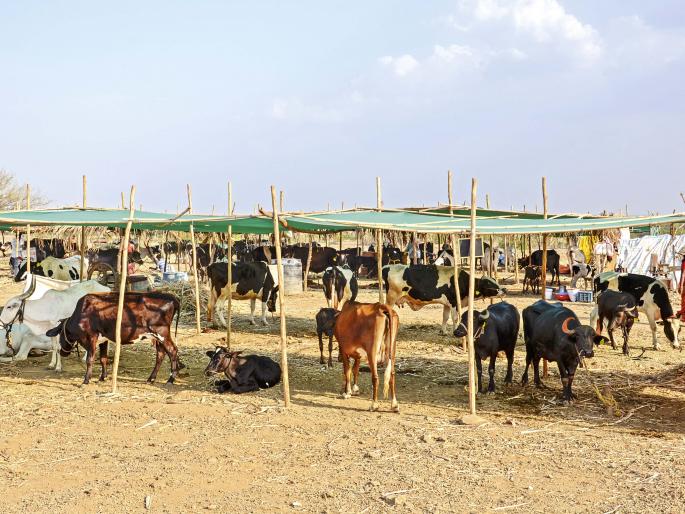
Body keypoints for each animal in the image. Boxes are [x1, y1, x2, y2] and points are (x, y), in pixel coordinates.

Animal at [46, 292, 181, 385]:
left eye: (61, 335)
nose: (63, 352)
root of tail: (172, 297)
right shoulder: (103, 339)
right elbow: (103, 359)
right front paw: (102, 377)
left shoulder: (91, 337)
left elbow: (90, 359)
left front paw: (86, 380)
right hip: (157, 336)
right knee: (161, 354)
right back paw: (151, 378)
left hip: (162, 333)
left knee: (172, 351)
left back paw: (170, 379)